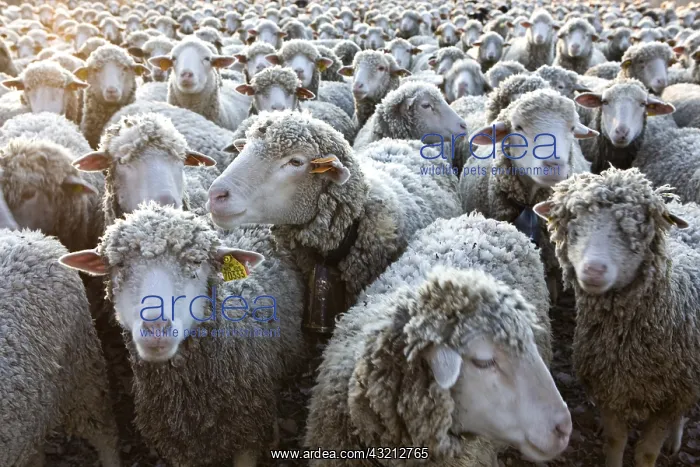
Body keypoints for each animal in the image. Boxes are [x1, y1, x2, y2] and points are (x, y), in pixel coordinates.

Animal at [532, 167, 700, 467]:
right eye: (573, 219)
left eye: (636, 226)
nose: (594, 270)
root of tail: (689, 206)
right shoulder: (609, 389)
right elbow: (615, 440)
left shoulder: (670, 397)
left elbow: (647, 453)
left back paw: (675, 439)